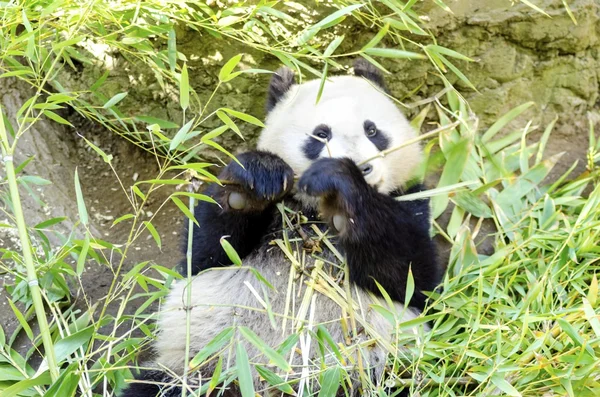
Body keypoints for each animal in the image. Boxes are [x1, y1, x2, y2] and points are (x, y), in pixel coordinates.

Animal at [123, 58, 440, 396]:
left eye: (372, 130)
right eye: (321, 134)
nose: (363, 166)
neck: (313, 214)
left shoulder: (412, 198)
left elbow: (412, 276)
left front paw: (341, 182)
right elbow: (205, 253)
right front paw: (258, 178)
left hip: (384, 373)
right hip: (201, 367)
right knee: (155, 385)